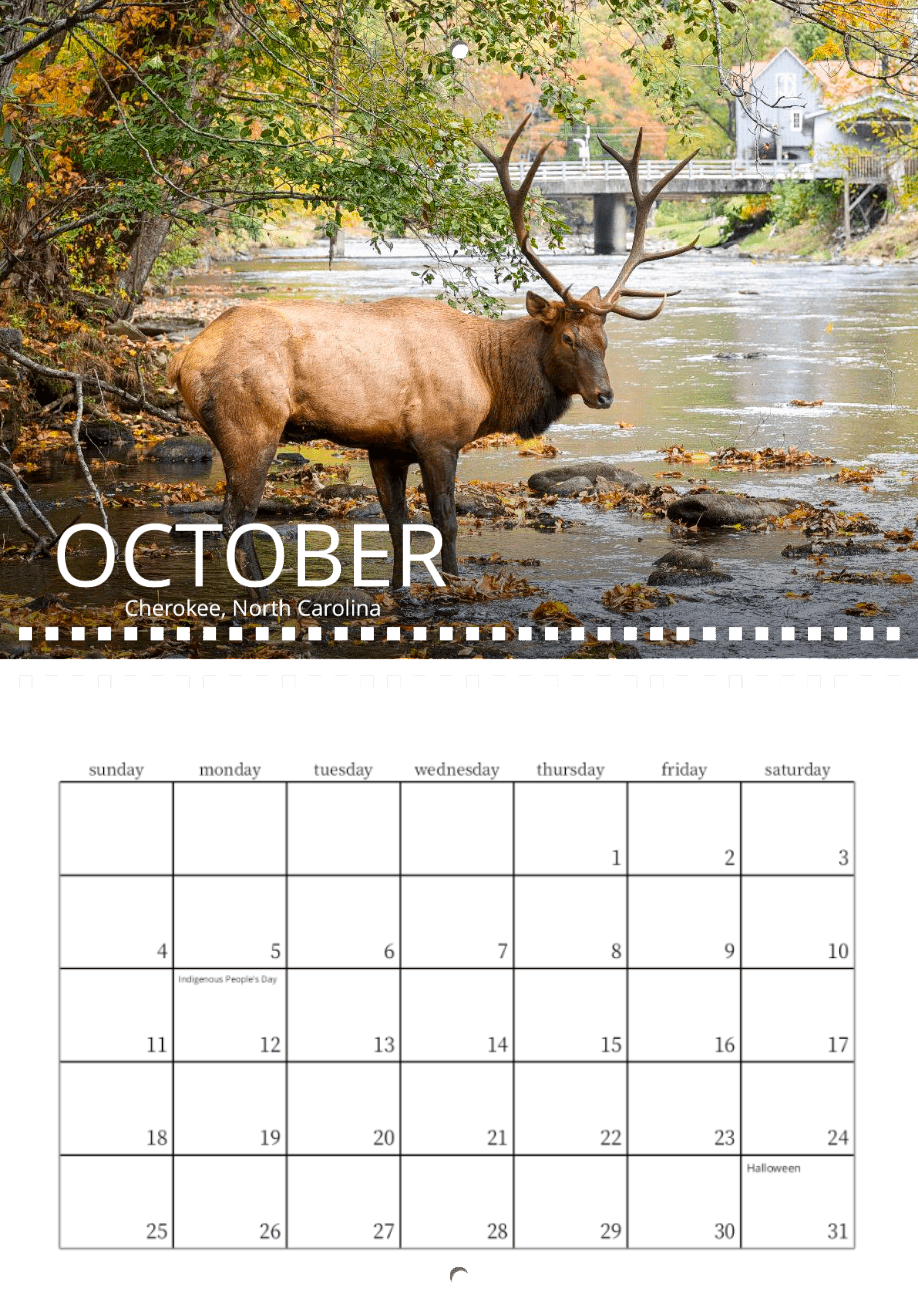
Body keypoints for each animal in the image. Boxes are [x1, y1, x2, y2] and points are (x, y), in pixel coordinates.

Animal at [166, 119, 698, 591]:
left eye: (605, 339)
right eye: (569, 337)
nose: (605, 395)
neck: (489, 375)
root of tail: (184, 360)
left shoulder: (386, 446)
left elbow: (398, 524)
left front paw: (400, 587)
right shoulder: (439, 437)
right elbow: (445, 520)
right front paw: (455, 580)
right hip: (252, 424)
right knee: (235, 518)